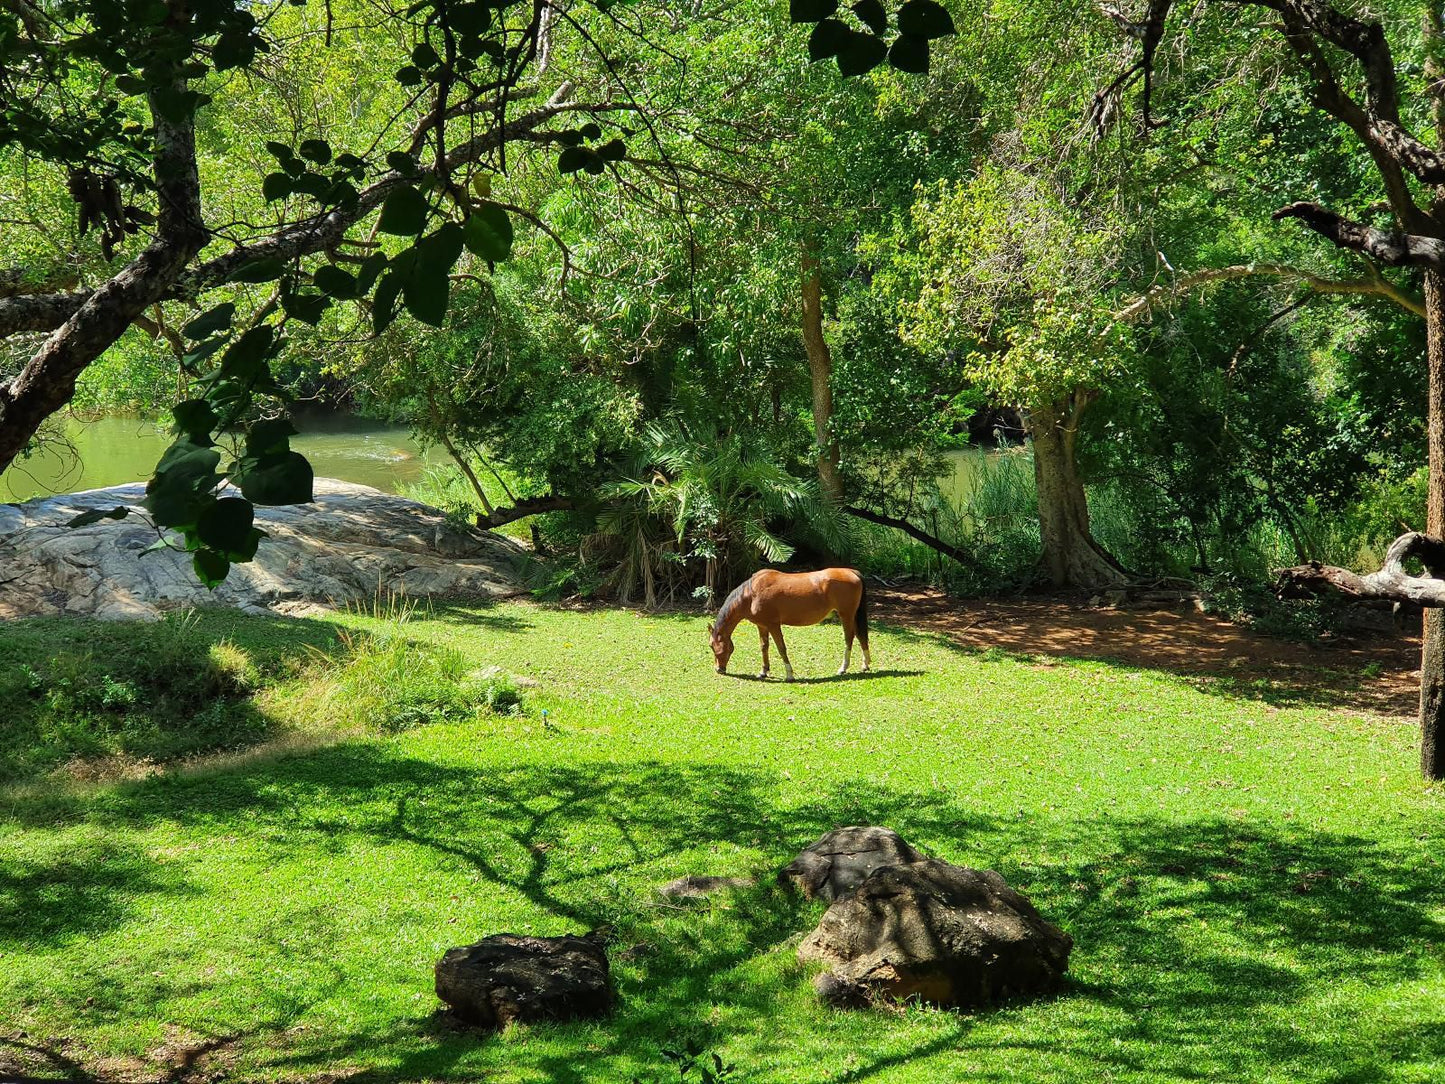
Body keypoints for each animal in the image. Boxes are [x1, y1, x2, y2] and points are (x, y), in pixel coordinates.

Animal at [710, 569, 867, 679]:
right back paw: (865, 664)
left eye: (712, 646)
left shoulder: (773, 625)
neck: (751, 594)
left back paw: (843, 668)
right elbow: (764, 647)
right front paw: (763, 671)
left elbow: (781, 648)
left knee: (849, 638)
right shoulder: (762, 625)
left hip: (846, 615)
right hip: (852, 615)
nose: (718, 669)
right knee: (861, 636)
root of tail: (852, 572)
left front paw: (789, 674)